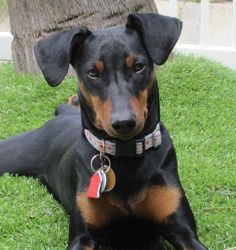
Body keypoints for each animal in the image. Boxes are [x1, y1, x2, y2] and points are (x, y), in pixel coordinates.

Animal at [0, 13, 206, 250]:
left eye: (138, 66)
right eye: (92, 73)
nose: (124, 122)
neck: (126, 156)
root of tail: (62, 115)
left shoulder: (183, 230)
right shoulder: (83, 235)